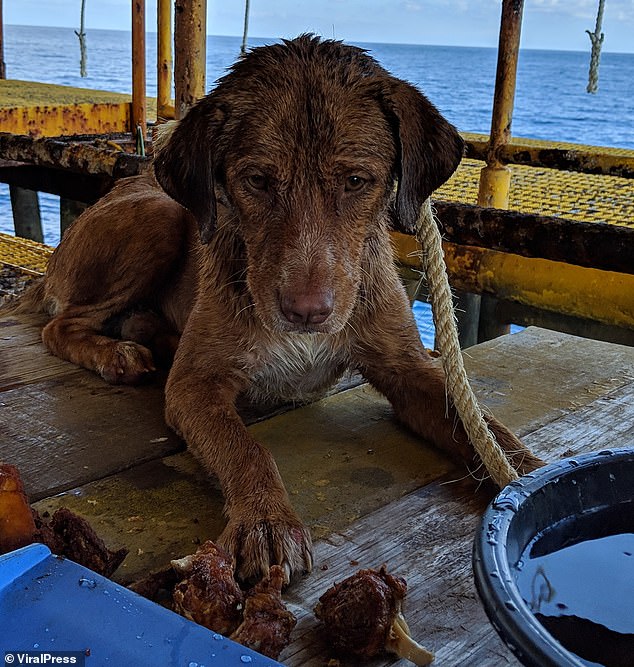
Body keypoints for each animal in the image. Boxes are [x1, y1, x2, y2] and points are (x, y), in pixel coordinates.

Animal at [21, 36, 544, 580]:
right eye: (257, 180)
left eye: (356, 181)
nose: (306, 312)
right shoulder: (194, 385)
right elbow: (247, 447)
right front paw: (265, 519)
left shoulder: (408, 368)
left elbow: (485, 428)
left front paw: (530, 476)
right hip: (158, 216)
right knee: (59, 325)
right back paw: (115, 354)